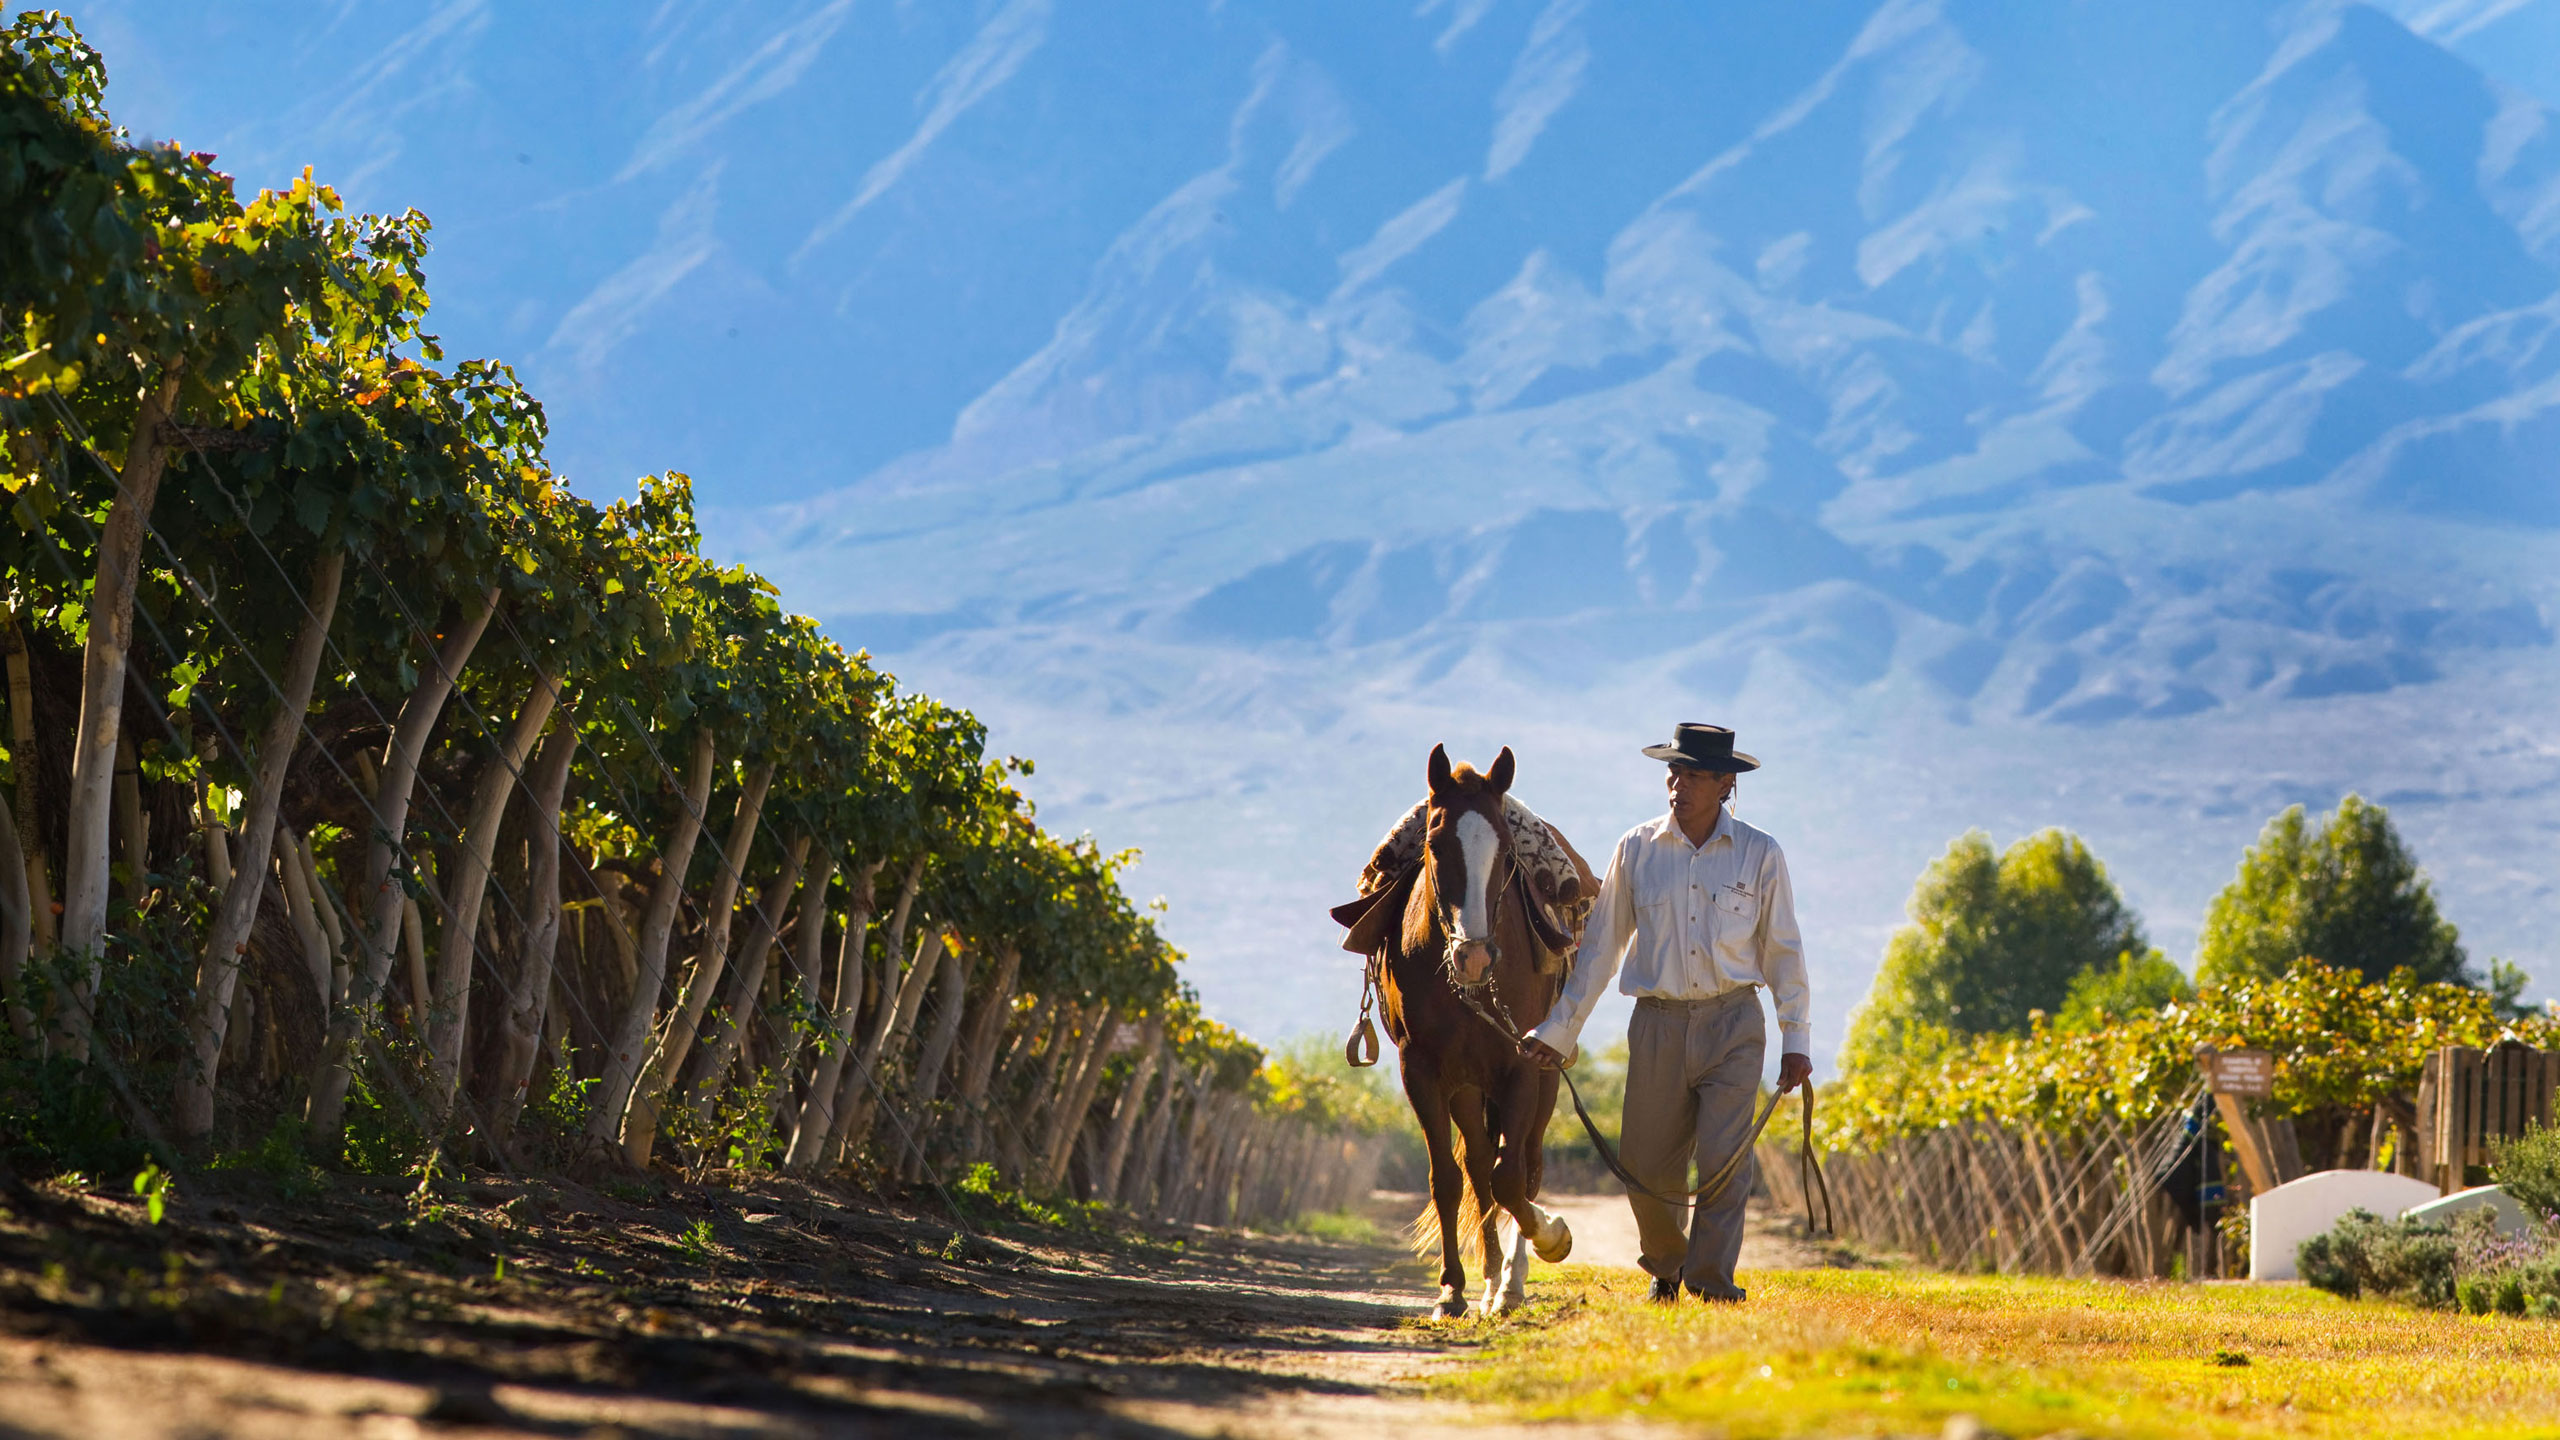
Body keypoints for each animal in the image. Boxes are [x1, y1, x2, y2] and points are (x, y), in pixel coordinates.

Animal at [1382, 737, 1576, 1311]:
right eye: (1435, 843)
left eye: (1505, 848)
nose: (1474, 958)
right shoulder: (1420, 1070)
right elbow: (1448, 1179)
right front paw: (1451, 1289)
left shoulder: (1522, 1066)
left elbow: (1512, 1178)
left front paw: (1552, 1237)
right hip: (1467, 1087)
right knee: (1477, 1164)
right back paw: (1489, 1277)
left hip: (1543, 1079)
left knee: (1524, 1165)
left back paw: (1510, 1281)